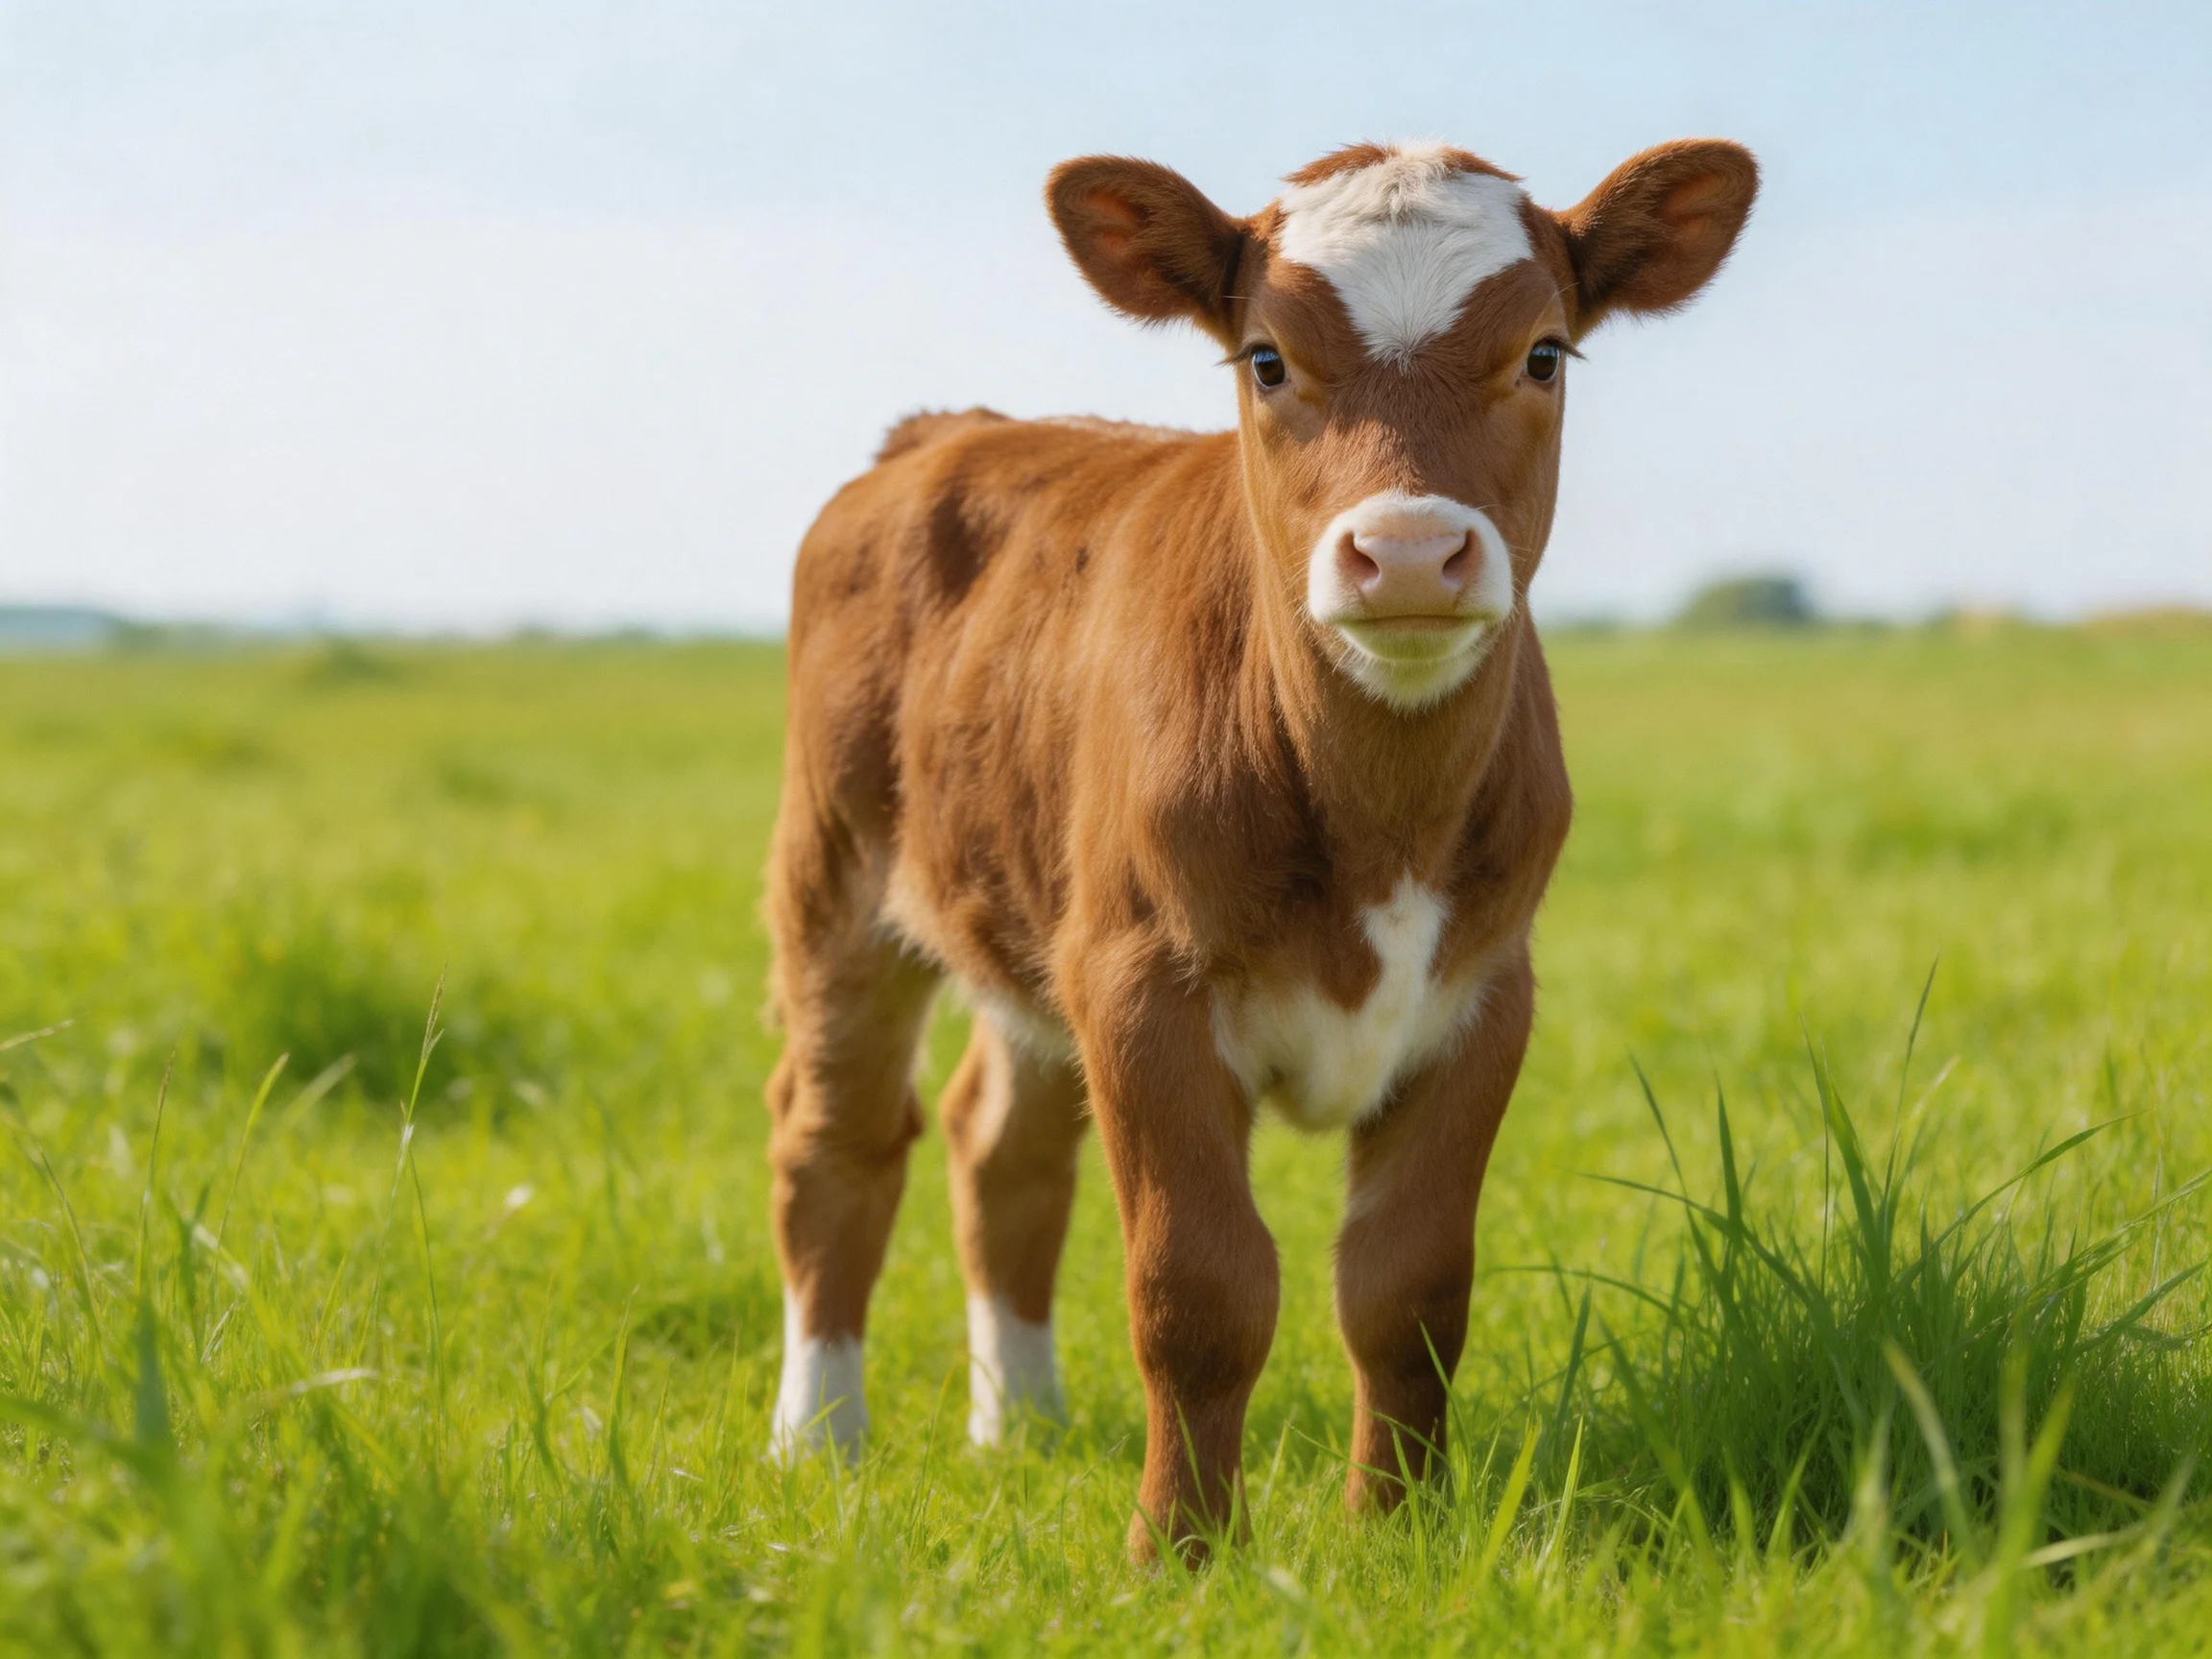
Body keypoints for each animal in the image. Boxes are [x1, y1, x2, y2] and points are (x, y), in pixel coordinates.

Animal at [763, 135, 1757, 1561]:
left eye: (1545, 354)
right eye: (1267, 357)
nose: (1409, 549)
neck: (1377, 821)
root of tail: (950, 427)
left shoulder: (1482, 998)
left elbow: (1407, 1290)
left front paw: (1395, 1530)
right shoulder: (1143, 989)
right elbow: (1199, 1288)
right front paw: (1179, 1553)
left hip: (1032, 919)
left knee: (999, 1148)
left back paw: (1026, 1424)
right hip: (837, 870)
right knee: (833, 1136)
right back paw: (819, 1440)